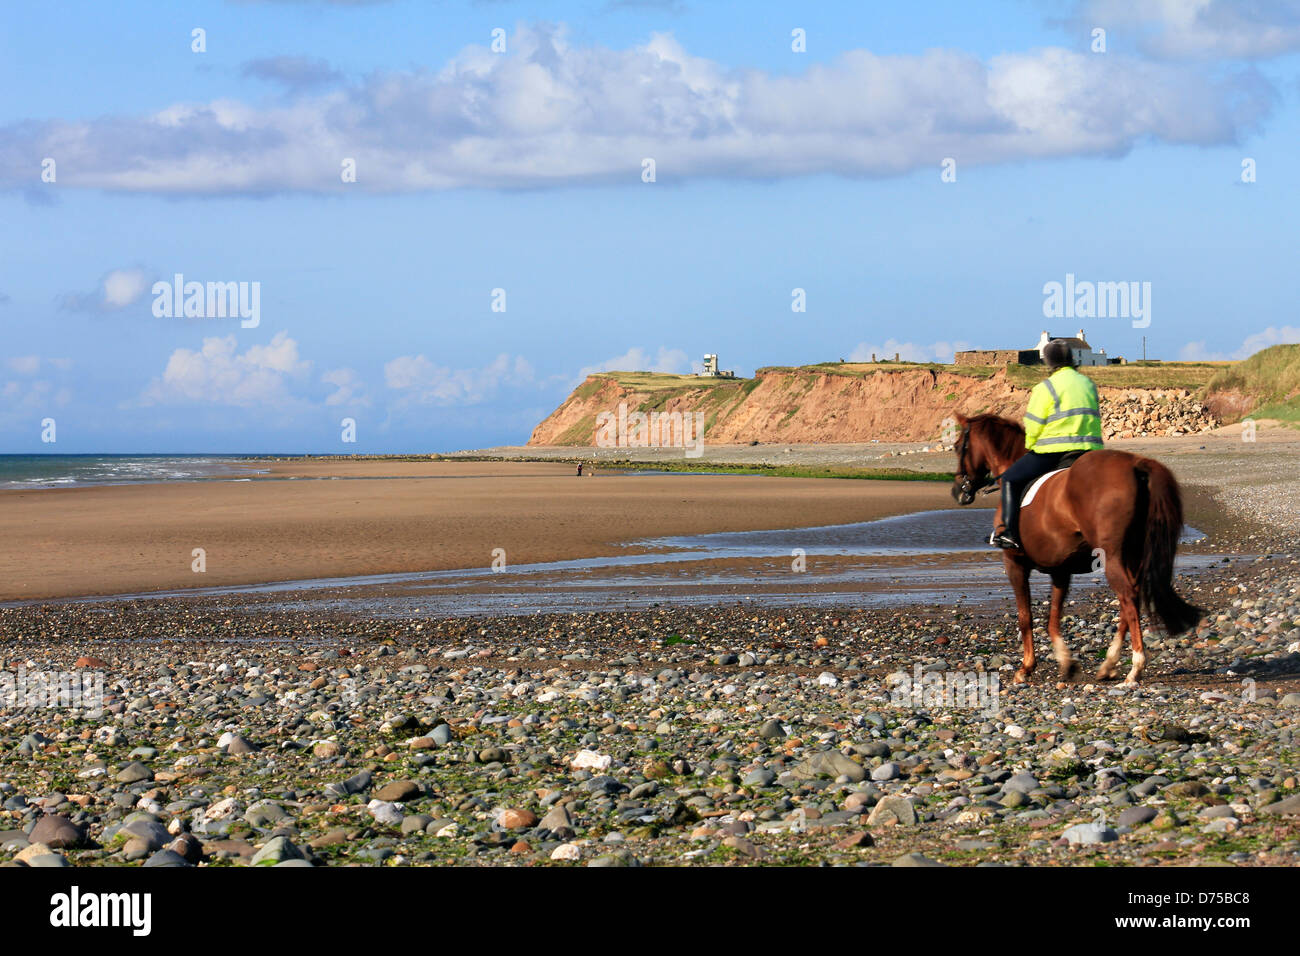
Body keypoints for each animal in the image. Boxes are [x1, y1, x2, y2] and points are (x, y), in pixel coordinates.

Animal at [951, 416, 1201, 686]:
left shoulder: (1015, 564)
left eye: (958, 446)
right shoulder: (1060, 571)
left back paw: (1135, 667)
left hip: (1113, 558)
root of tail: (1135, 464)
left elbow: (1025, 617)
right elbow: (1053, 619)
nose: (957, 491)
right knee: (1130, 600)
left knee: (1128, 598)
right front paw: (1066, 662)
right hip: (1134, 557)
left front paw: (1026, 667)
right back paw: (1109, 665)